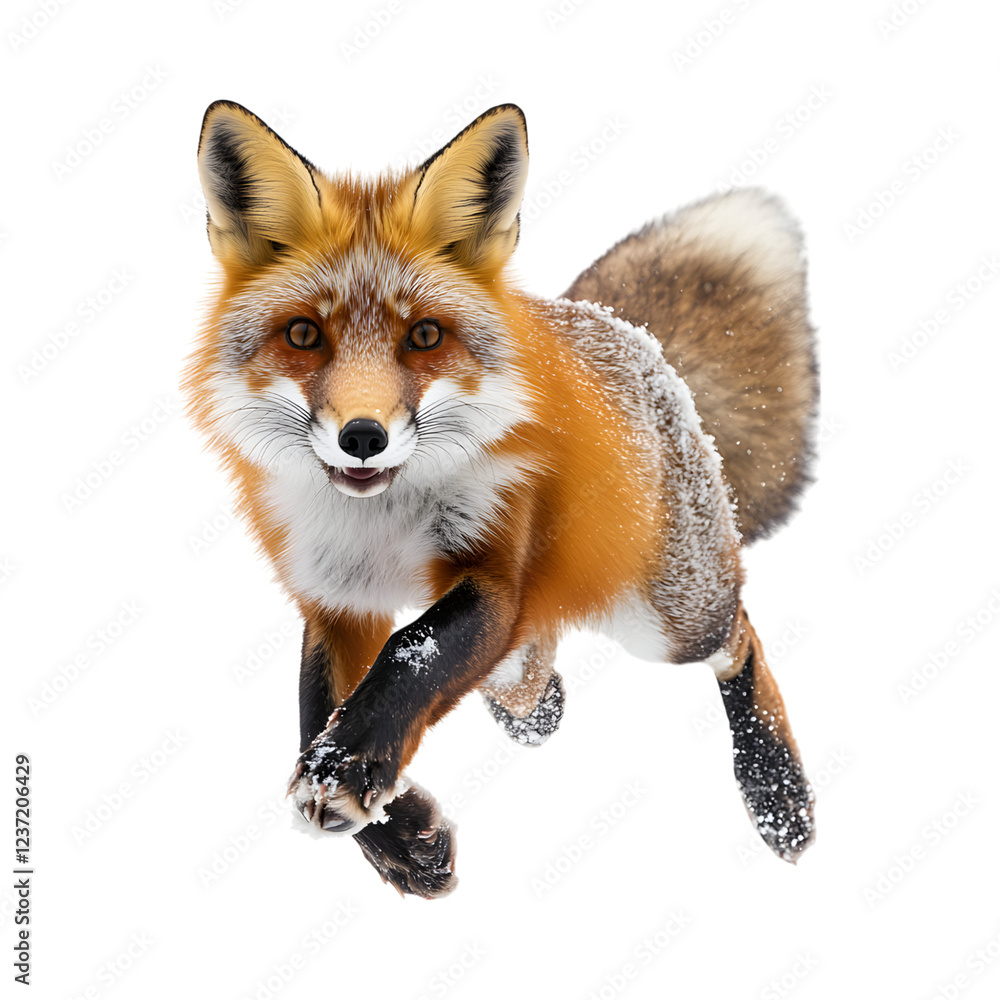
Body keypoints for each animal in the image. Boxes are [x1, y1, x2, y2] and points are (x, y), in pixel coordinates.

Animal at [184, 101, 817, 898]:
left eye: (425, 335)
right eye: (303, 334)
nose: (363, 437)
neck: (379, 522)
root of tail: (618, 326)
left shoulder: (493, 570)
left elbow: (410, 654)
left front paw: (348, 772)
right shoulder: (335, 595)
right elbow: (316, 706)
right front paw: (398, 839)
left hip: (665, 618)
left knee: (738, 635)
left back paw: (777, 793)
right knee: (530, 683)